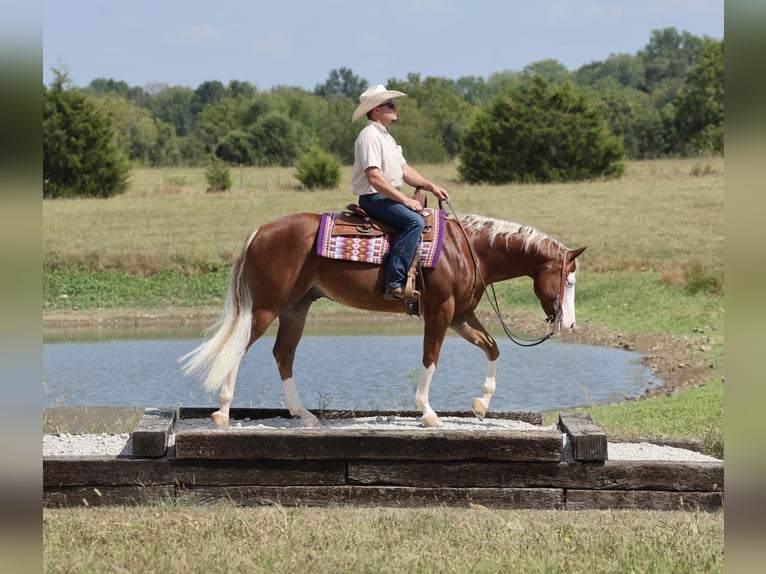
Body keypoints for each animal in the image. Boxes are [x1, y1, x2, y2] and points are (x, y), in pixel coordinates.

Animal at [180, 209, 586, 428]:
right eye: (568, 280)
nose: (568, 325)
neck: (469, 249)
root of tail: (260, 232)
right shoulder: (440, 311)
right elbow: (430, 357)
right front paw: (428, 412)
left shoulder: (461, 315)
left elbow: (493, 349)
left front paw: (481, 404)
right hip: (266, 308)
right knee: (239, 349)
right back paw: (222, 412)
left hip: (296, 307)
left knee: (284, 354)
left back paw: (304, 415)